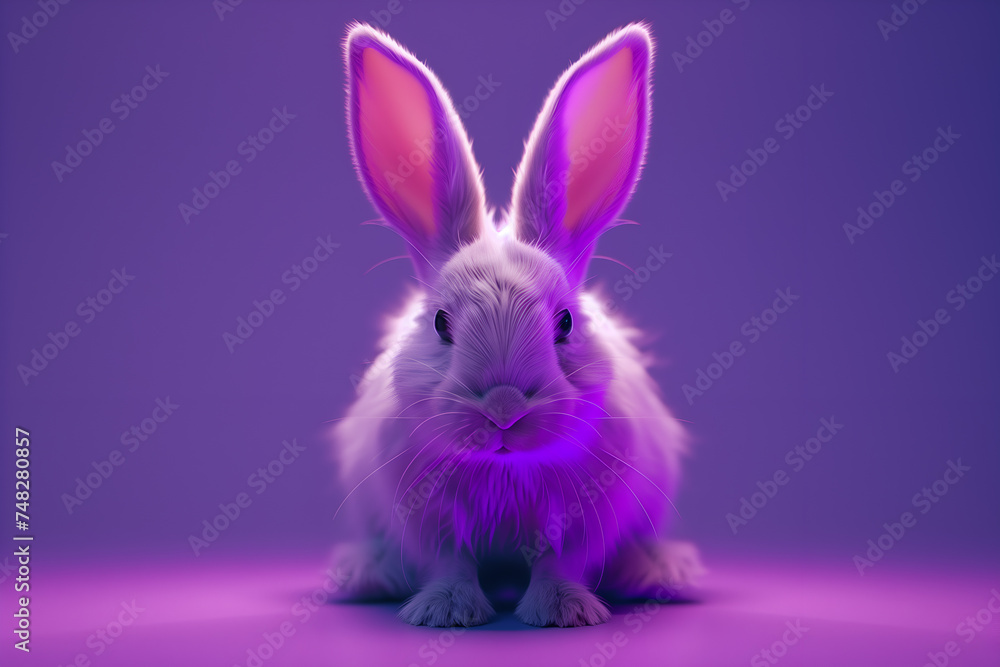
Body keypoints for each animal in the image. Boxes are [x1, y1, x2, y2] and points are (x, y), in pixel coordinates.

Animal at [330, 21, 703, 628]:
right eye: (440, 323)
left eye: (565, 323)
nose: (503, 409)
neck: (505, 471)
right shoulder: (427, 520)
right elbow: (450, 563)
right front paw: (445, 612)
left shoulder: (579, 521)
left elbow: (559, 564)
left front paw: (562, 613)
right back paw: (364, 573)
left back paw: (658, 571)